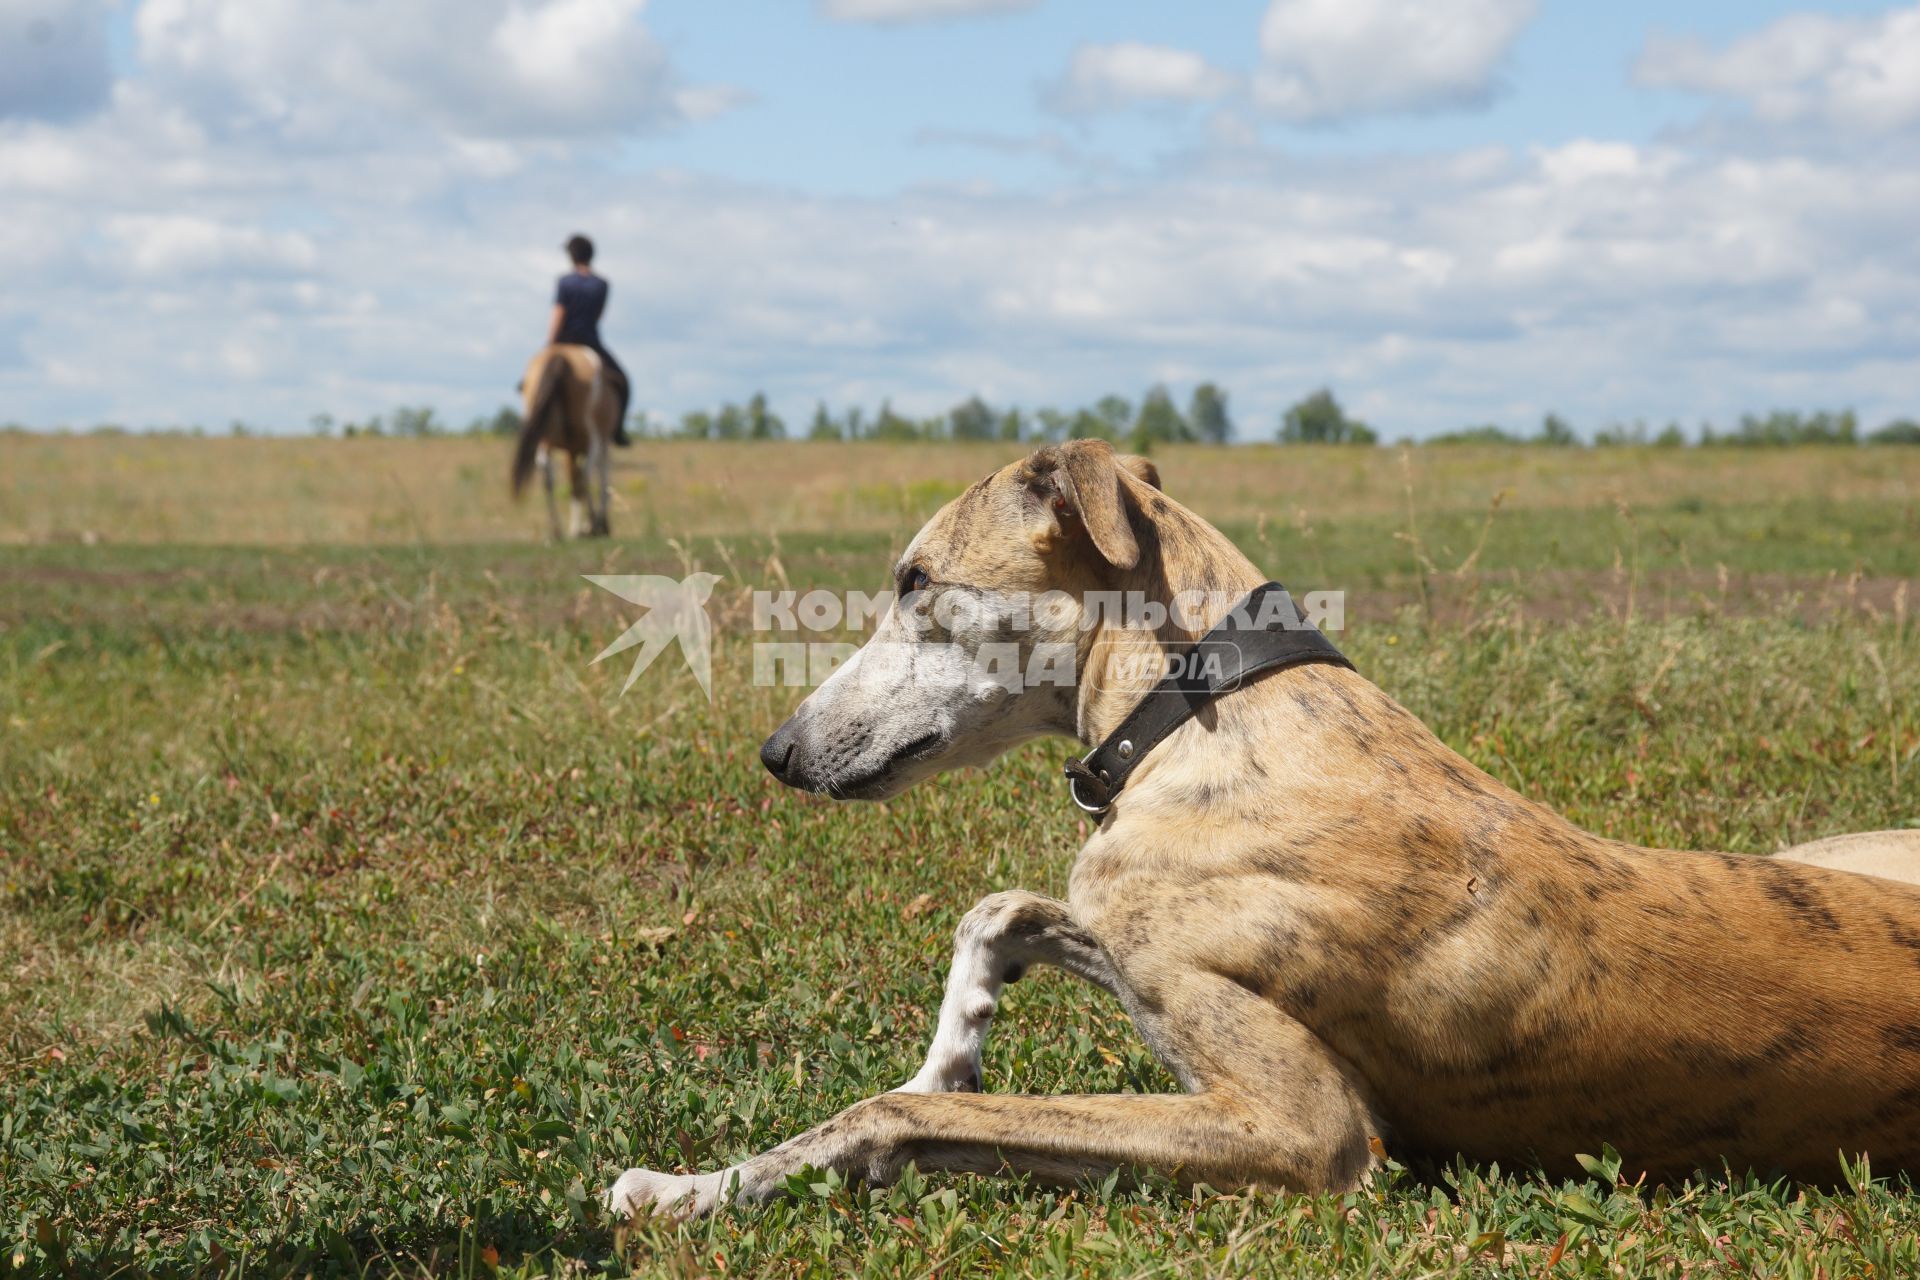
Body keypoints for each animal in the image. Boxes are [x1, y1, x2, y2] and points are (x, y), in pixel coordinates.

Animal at [510, 343, 622, 537]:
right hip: (592, 437)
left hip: (544, 438)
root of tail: (561, 356)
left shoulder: (572, 449)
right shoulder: (602, 443)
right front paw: (597, 524)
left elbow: (574, 481)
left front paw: (579, 526)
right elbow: (602, 480)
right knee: (586, 474)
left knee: (548, 477)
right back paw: (591, 524)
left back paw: (557, 530)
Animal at [606, 435, 1920, 1220]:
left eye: (916, 582)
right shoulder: (1133, 933)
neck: (1202, 710)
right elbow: (1001, 912)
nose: (778, 751)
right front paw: (957, 1035)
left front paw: (686, 1185)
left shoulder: (1305, 1128)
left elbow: (902, 1111)